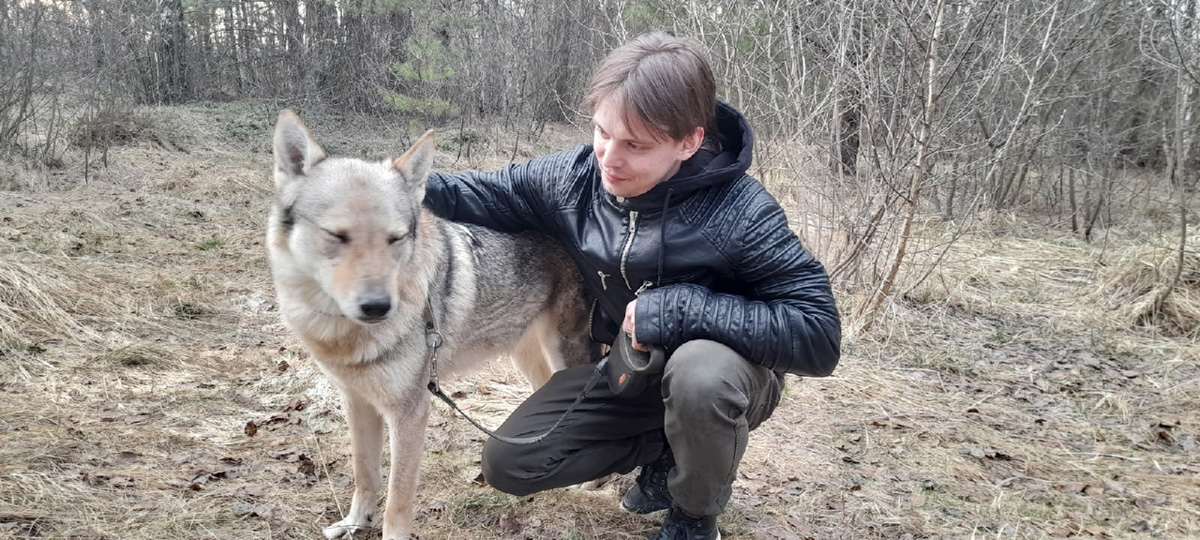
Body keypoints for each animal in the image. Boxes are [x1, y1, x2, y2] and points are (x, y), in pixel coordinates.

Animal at [267, 110, 593, 539]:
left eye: (395, 239)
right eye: (337, 236)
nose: (378, 306)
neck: (345, 338)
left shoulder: (410, 413)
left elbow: (397, 500)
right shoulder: (356, 402)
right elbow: (364, 474)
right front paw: (354, 523)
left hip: (564, 353)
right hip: (528, 358)